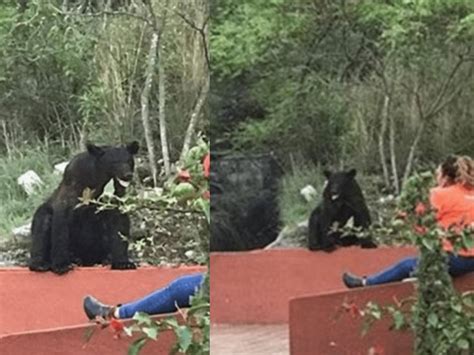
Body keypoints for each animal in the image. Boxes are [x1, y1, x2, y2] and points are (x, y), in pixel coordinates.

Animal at [29, 142, 139, 276]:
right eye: (114, 162)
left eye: (129, 161)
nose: (128, 175)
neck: (97, 182)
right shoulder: (72, 191)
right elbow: (61, 224)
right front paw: (61, 265)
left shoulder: (114, 196)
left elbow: (119, 223)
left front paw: (123, 263)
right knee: (42, 226)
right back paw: (41, 264)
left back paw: (106, 258)